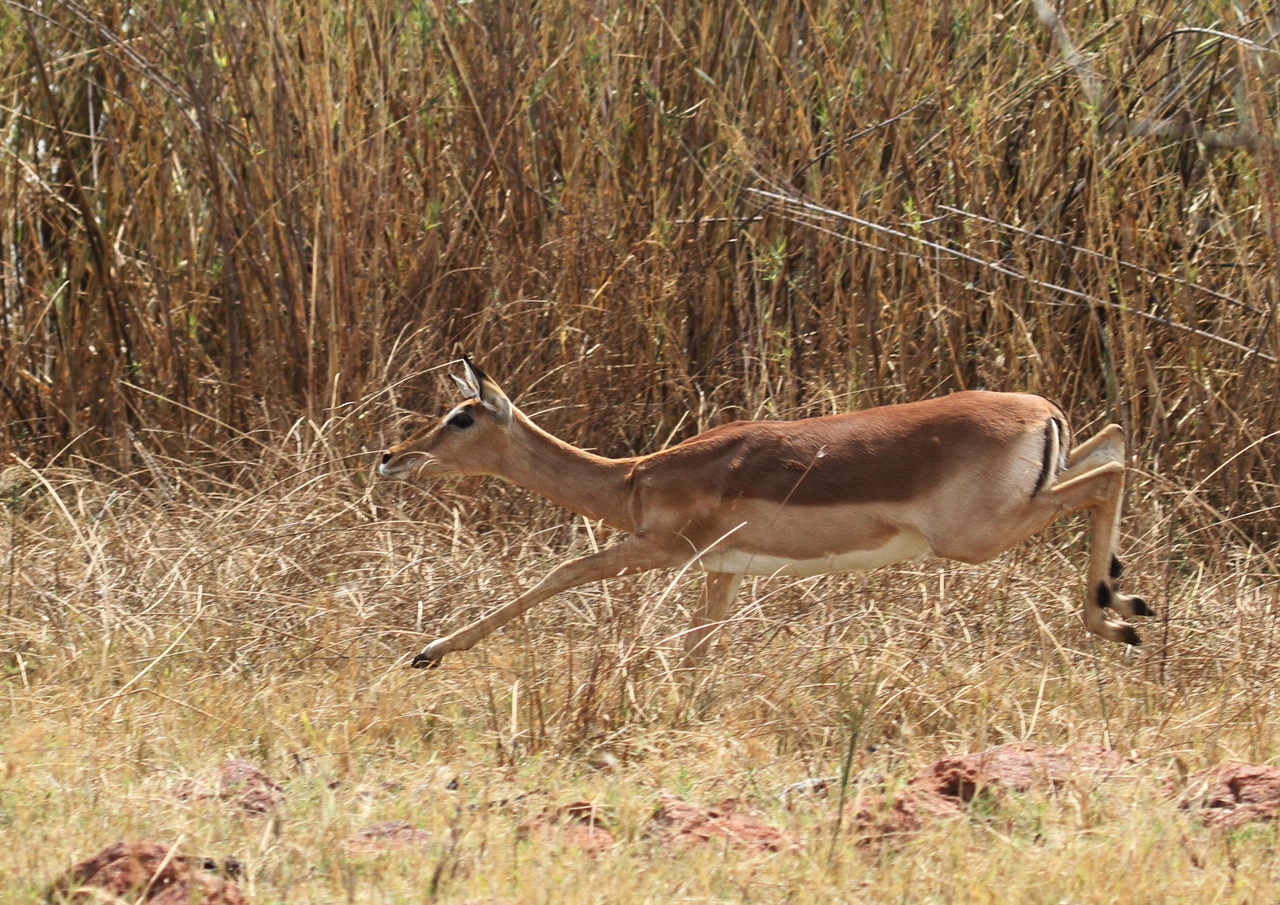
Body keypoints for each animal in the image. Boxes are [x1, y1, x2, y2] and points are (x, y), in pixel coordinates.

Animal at [378, 358, 1152, 670]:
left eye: (460, 416)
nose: (390, 456)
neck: (634, 477)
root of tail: (1041, 411)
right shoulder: (721, 572)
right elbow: (697, 650)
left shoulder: (661, 547)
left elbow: (561, 572)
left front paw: (428, 650)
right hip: (1026, 496)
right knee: (1115, 440)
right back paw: (1126, 599)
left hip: (977, 534)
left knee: (1109, 474)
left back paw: (1118, 615)